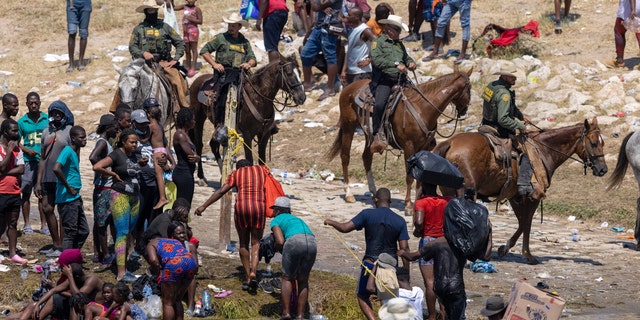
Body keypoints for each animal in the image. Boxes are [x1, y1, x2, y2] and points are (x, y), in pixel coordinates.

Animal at [189, 53, 306, 181]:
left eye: (300, 72)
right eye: (289, 73)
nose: (302, 97)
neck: (259, 98)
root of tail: (197, 80)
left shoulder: (264, 135)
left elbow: (262, 161)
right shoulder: (247, 134)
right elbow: (249, 160)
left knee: (213, 144)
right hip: (198, 118)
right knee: (199, 144)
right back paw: (201, 177)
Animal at [328, 66, 472, 211]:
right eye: (469, 88)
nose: (464, 111)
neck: (422, 108)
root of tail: (348, 88)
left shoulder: (424, 147)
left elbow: (421, 176)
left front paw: (418, 201)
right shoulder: (409, 146)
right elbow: (409, 176)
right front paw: (408, 204)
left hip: (369, 134)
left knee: (367, 158)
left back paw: (375, 194)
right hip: (348, 127)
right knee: (345, 157)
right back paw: (349, 193)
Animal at [432, 119, 608, 264]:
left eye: (602, 143)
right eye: (593, 143)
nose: (603, 170)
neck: (544, 150)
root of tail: (450, 143)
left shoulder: (515, 196)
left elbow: (522, 221)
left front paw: (505, 248)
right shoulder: (532, 196)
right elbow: (527, 222)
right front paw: (526, 254)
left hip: (449, 190)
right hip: (467, 193)